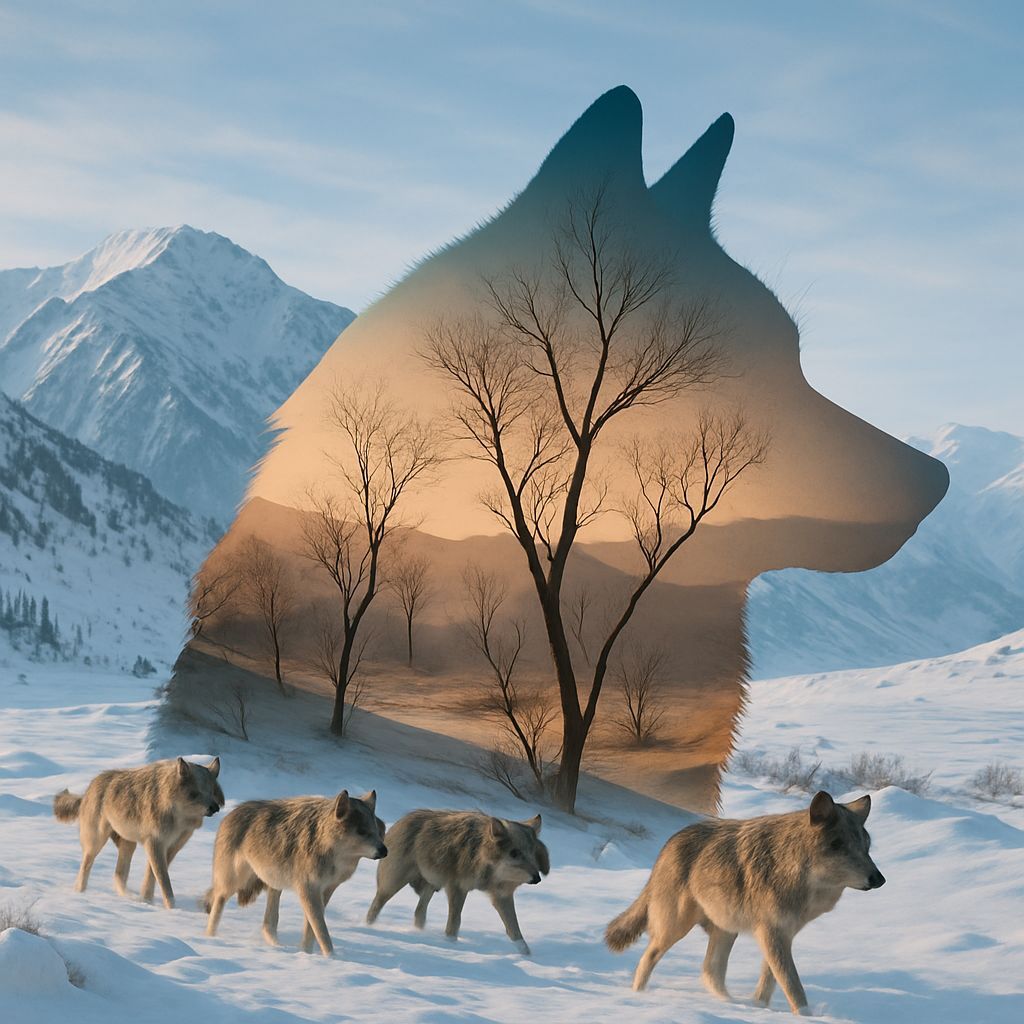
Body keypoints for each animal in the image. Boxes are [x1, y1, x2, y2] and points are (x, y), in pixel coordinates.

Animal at [53, 756, 224, 908]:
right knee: (85, 868)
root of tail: (88, 789)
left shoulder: (171, 848)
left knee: (118, 874)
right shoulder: (155, 844)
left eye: (211, 791)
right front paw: (172, 910)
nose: (215, 807)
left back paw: (128, 897)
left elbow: (151, 878)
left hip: (129, 845)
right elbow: (164, 883)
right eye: (195, 793)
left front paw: (147, 902)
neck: (178, 818)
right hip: (96, 843)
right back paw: (80, 895)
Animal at [204, 789, 386, 956]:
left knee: (268, 924)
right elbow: (322, 933)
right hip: (233, 883)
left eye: (377, 831)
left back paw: (277, 946)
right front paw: (331, 959)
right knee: (217, 903)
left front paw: (307, 955)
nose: (385, 851)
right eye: (362, 831)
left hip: (275, 886)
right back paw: (210, 938)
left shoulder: (325, 891)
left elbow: (311, 931)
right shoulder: (308, 890)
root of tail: (231, 813)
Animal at [366, 809, 550, 954]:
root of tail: (398, 822)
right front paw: (450, 945)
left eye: (531, 852)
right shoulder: (457, 888)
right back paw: (368, 928)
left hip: (431, 888)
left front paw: (527, 957)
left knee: (418, 913)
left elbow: (516, 932)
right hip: (392, 886)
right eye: (514, 853)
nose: (537, 878)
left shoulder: (501, 896)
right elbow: (454, 923)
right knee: (374, 908)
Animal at [605, 791, 884, 1015]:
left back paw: (728, 1004)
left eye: (866, 846)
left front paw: (758, 1009)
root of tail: (667, 846)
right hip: (675, 929)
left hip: (726, 930)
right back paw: (638, 997)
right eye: (839, 845)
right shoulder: (771, 934)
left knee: (709, 971)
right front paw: (806, 1017)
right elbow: (793, 986)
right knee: (648, 957)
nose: (879, 879)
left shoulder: (783, 936)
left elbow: (770, 984)